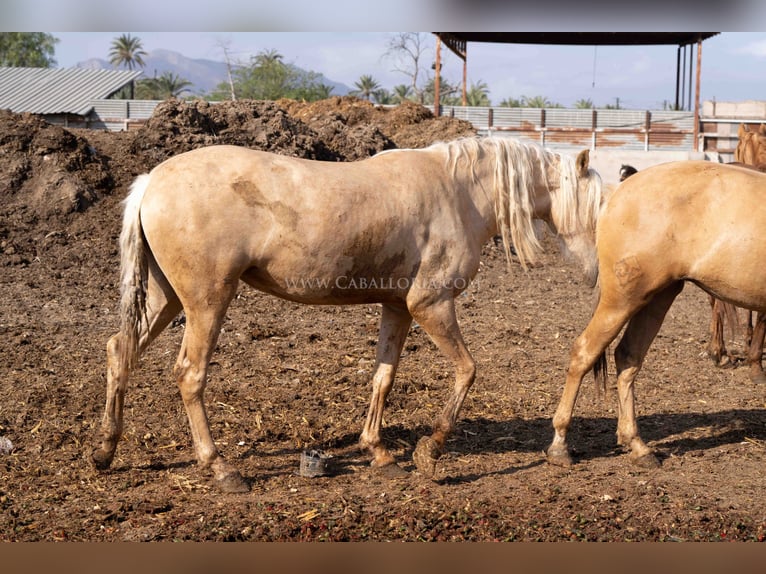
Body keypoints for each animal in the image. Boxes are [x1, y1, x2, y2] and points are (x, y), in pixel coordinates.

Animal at [91, 137, 608, 492]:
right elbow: (467, 370)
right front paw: (430, 451)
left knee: (120, 351)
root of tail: (152, 182)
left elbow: (384, 377)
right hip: (206, 302)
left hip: (166, 299)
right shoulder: (431, 306)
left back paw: (105, 450)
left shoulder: (398, 309)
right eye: (598, 209)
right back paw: (220, 468)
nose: (598, 273)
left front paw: (379, 452)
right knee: (189, 374)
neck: (458, 191)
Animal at [548, 160, 766, 470]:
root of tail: (618, 194)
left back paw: (637, 445)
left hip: (657, 297)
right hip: (623, 299)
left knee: (627, 357)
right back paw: (560, 445)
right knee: (584, 352)